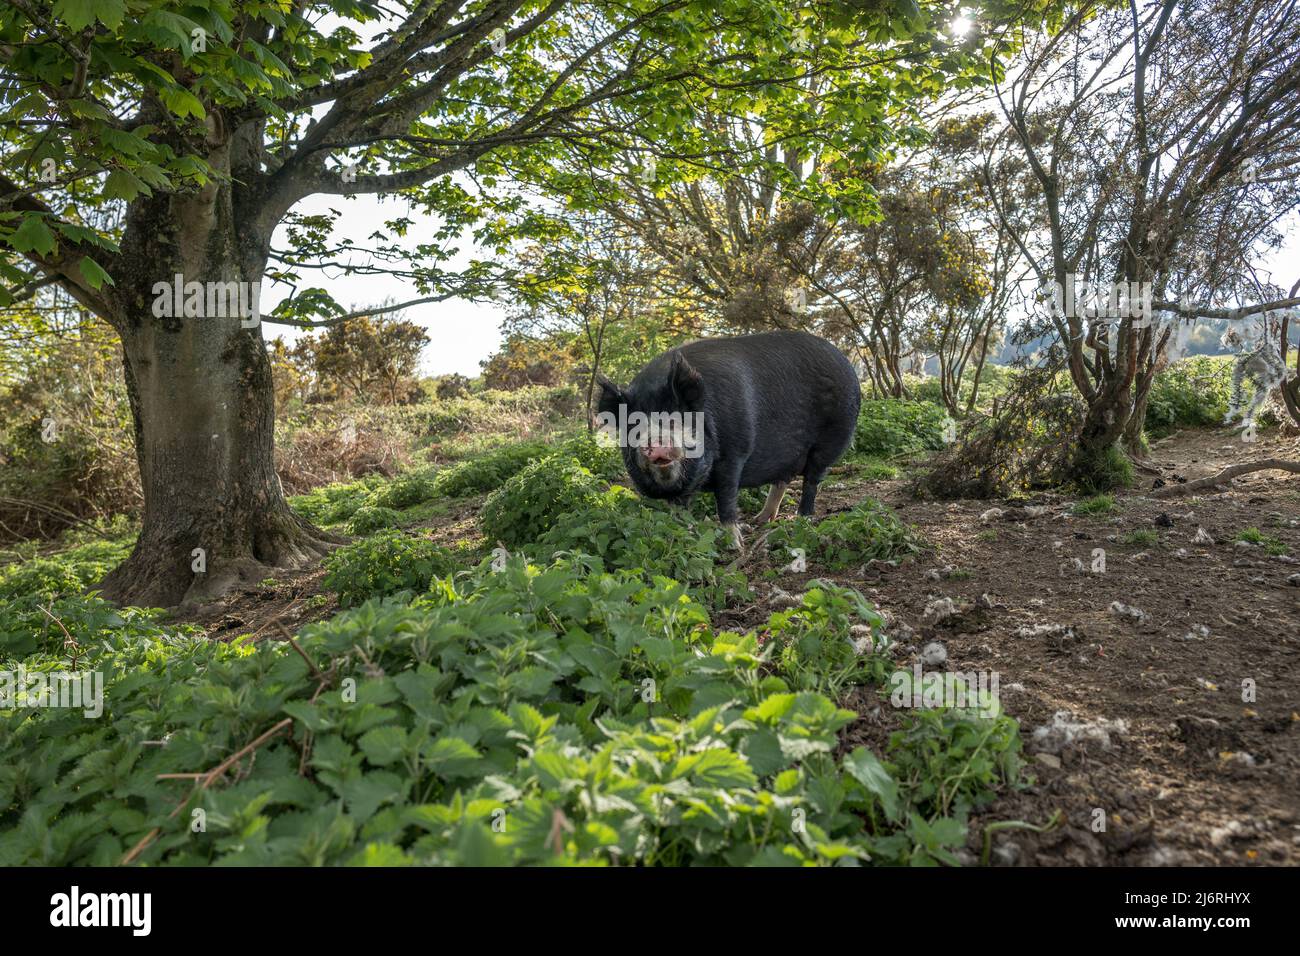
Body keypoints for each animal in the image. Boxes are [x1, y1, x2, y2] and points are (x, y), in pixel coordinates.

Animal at [598, 330, 863, 546]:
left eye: (676, 419)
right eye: (634, 425)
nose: (656, 442)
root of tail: (846, 363)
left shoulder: (734, 454)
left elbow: (726, 497)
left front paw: (734, 545)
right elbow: (679, 509)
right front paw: (683, 533)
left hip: (833, 438)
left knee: (812, 481)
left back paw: (801, 521)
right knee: (782, 480)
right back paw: (761, 520)